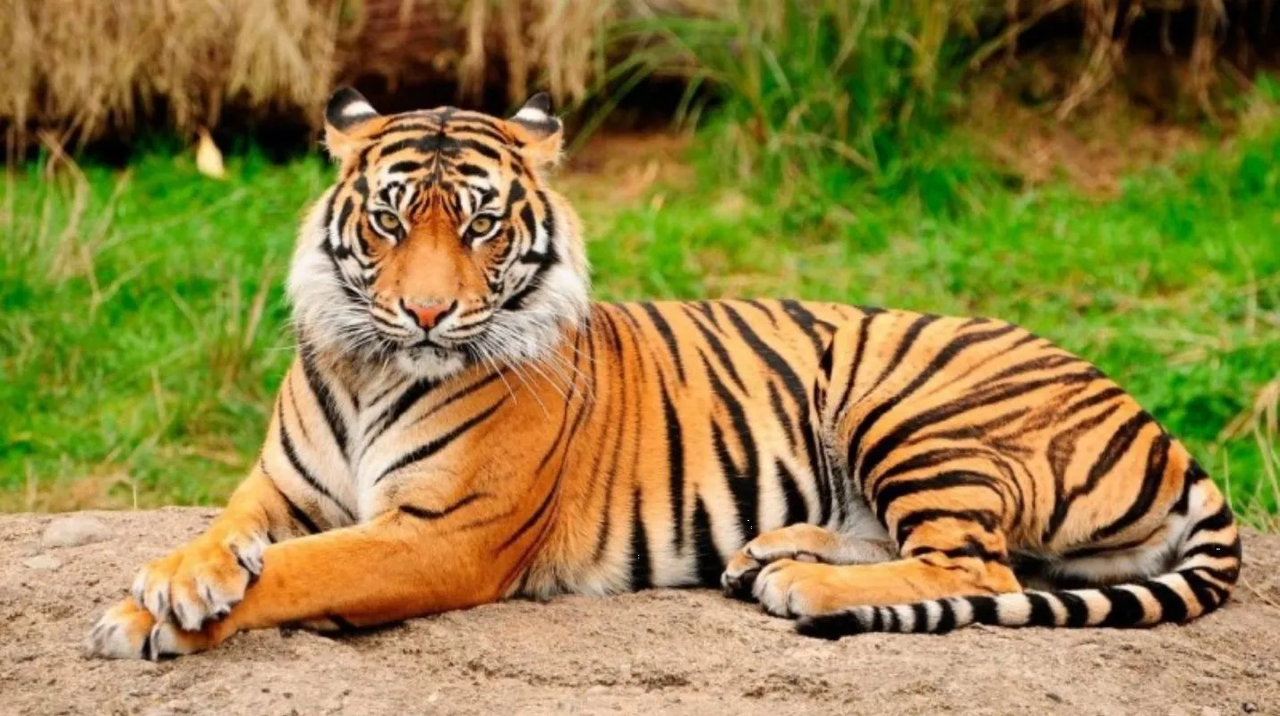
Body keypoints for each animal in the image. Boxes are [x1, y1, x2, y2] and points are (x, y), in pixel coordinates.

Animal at [86, 88, 1242, 659]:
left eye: (480, 226)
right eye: (388, 219)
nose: (425, 311)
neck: (374, 367)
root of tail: (1157, 424)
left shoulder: (441, 534)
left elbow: (303, 570)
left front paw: (151, 618)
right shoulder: (277, 488)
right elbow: (228, 536)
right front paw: (172, 582)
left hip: (911, 405)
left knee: (980, 568)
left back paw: (801, 581)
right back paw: (770, 551)